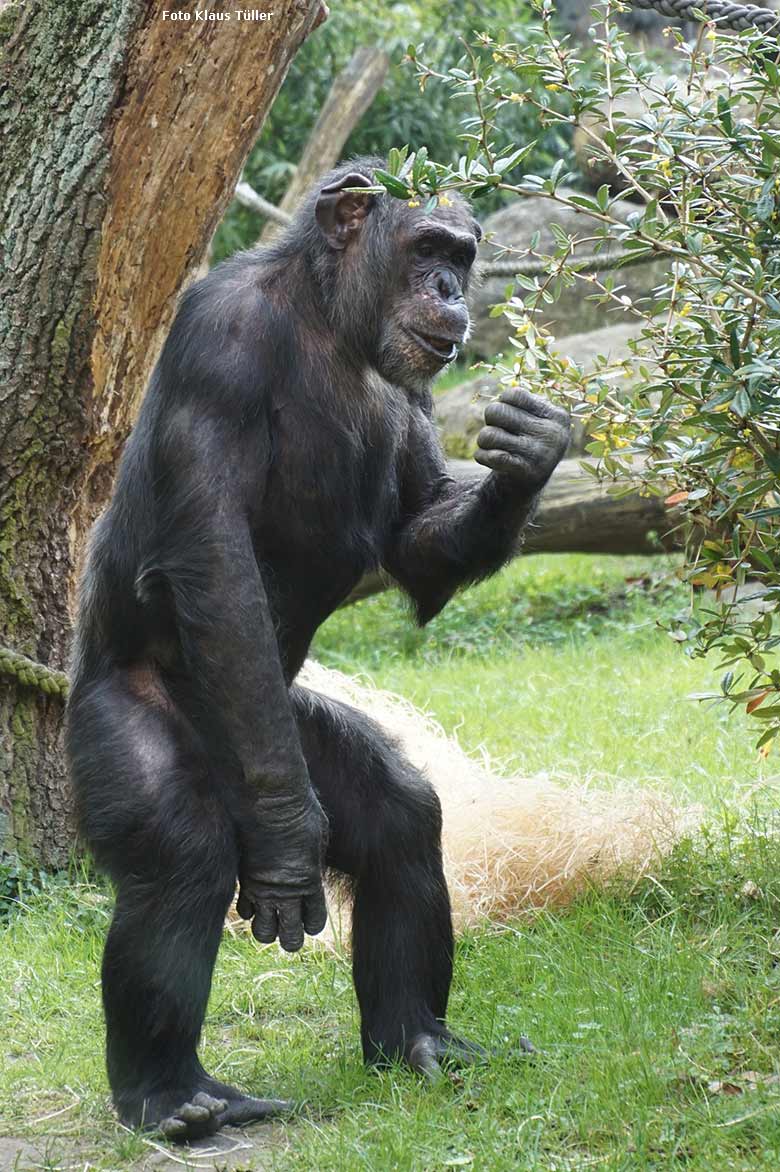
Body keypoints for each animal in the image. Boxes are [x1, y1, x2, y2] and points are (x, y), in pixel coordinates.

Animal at [65, 155, 564, 1134]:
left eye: (462, 254)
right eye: (426, 247)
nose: (451, 289)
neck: (331, 321)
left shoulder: (414, 388)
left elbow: (416, 534)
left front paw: (527, 457)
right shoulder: (217, 340)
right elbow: (215, 559)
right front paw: (293, 858)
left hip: (285, 728)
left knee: (401, 819)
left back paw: (417, 1040)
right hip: (161, 723)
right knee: (180, 854)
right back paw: (174, 1097)